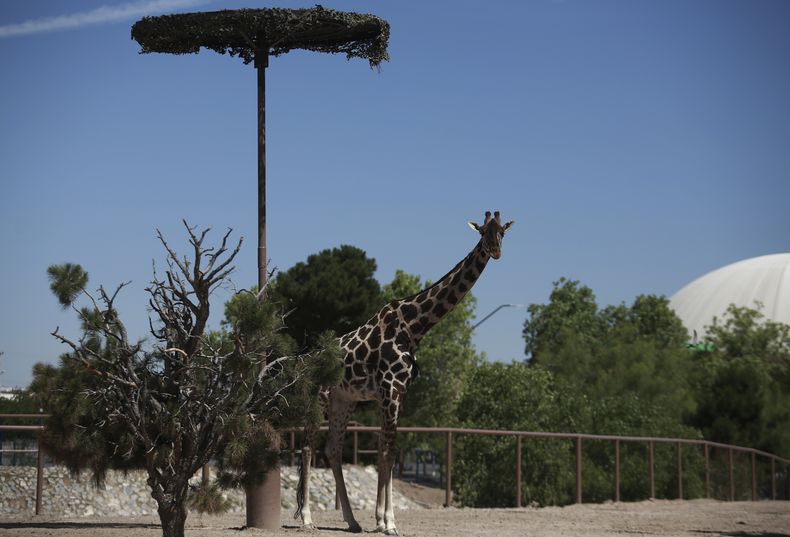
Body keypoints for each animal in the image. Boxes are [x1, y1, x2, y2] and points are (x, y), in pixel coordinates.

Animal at [296, 209, 512, 532]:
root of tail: (308, 361)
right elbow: (387, 452)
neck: (414, 327)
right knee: (308, 447)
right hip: (318, 396)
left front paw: (380, 520)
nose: (495, 252)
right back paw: (307, 518)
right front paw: (388, 522)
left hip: (344, 401)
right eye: (482, 232)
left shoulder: (398, 392)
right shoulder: (389, 389)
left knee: (332, 449)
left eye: (502, 232)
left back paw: (352, 520)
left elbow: (389, 452)